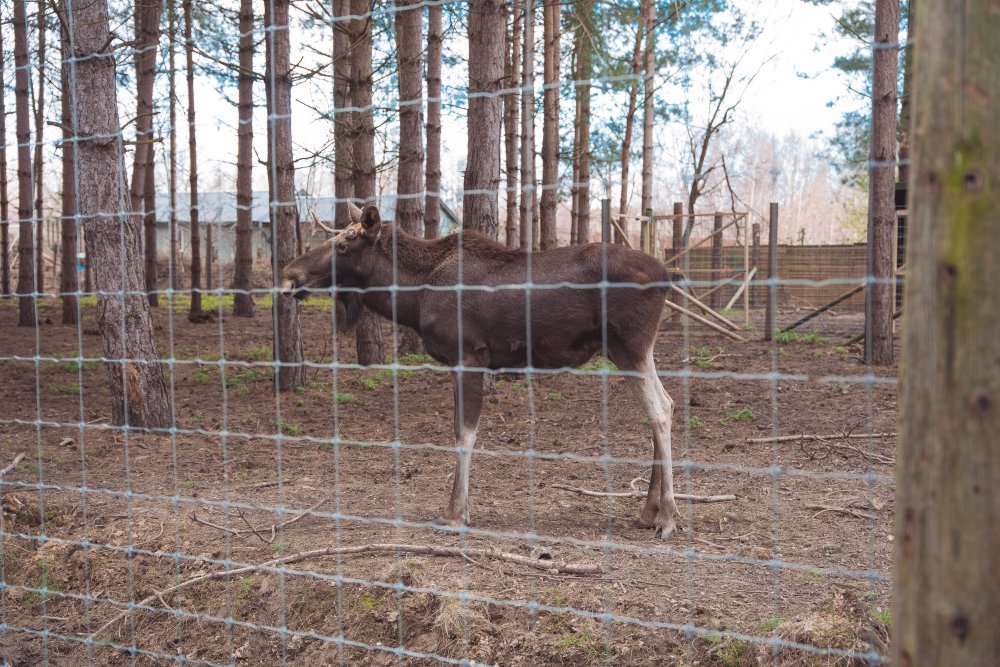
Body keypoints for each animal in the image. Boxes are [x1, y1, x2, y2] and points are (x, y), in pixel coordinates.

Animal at [282, 202, 680, 536]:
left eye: (344, 244)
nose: (288, 275)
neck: (413, 298)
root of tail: (666, 274)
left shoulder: (468, 357)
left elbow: (464, 434)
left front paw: (455, 513)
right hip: (632, 350)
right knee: (665, 405)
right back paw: (648, 511)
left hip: (629, 347)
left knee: (660, 409)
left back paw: (667, 516)